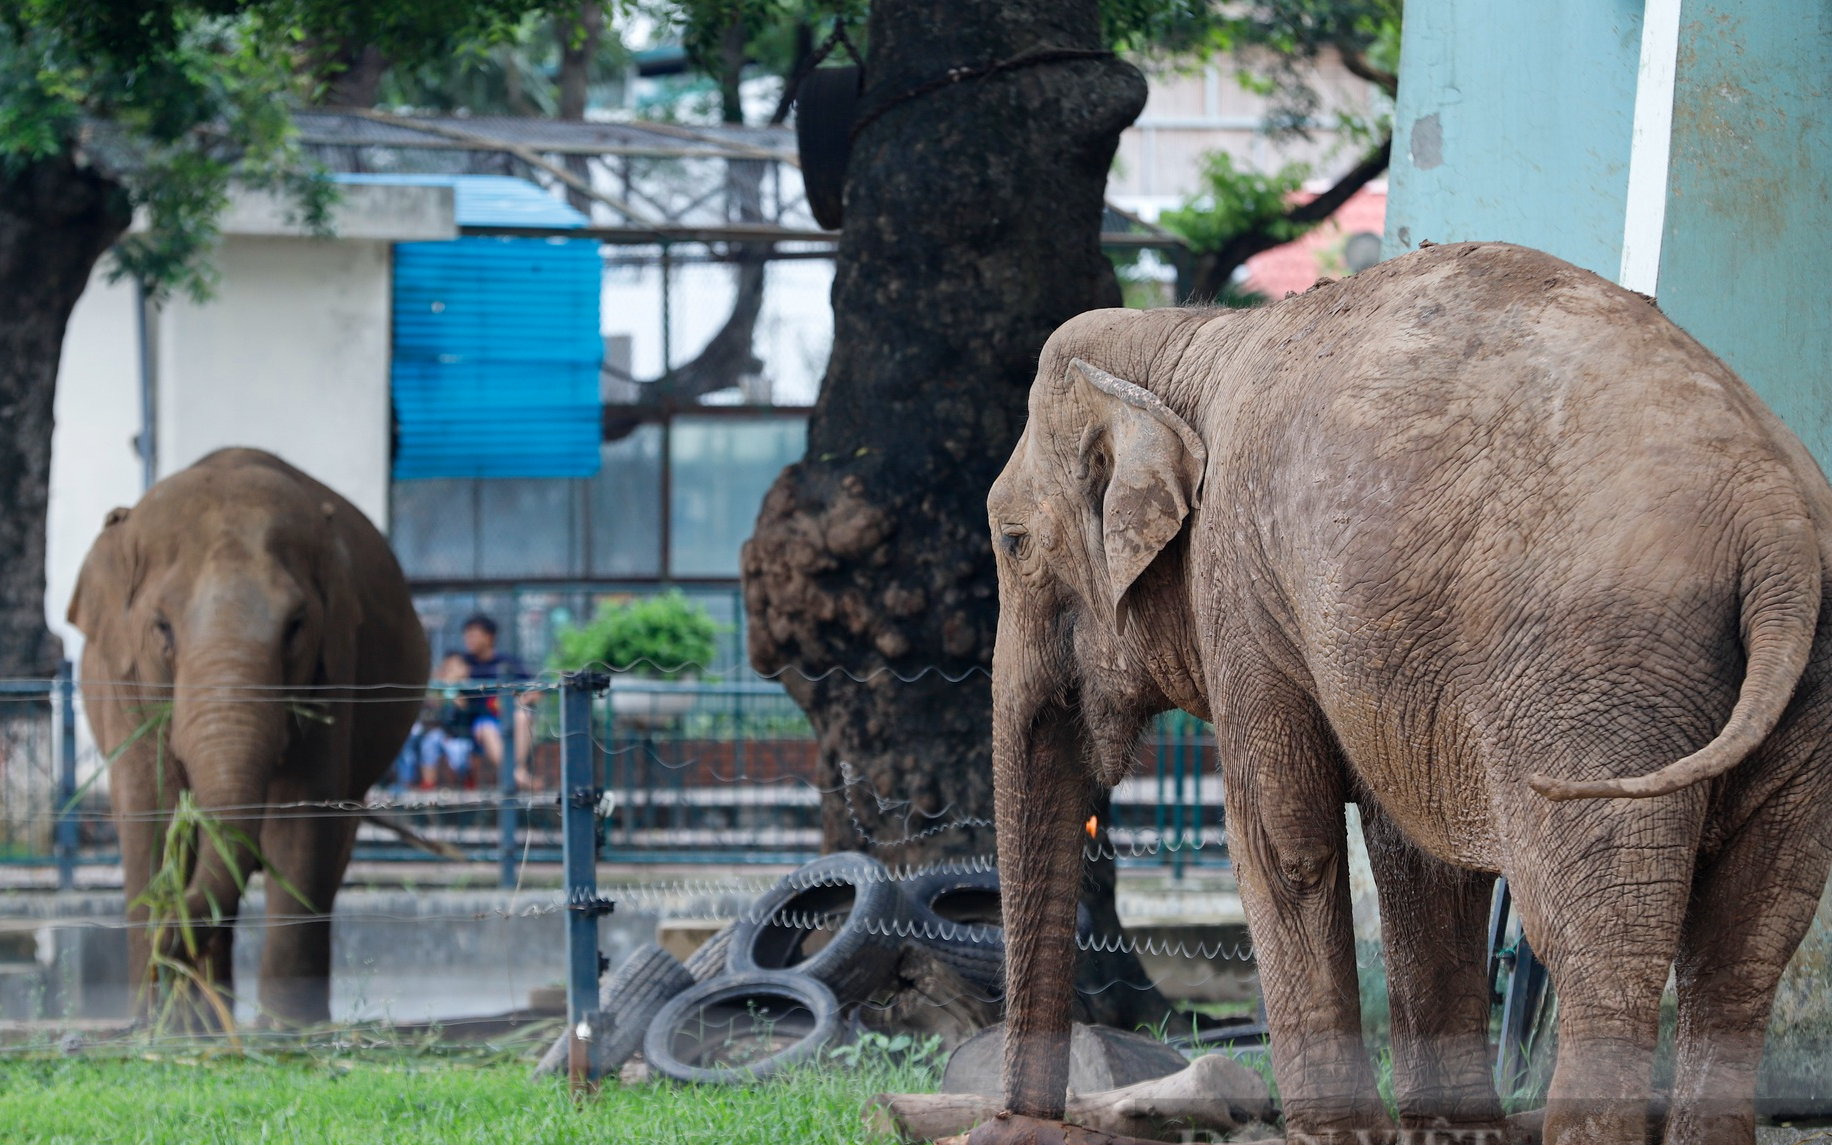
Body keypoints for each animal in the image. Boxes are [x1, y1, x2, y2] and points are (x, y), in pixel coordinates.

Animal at [67, 447, 425, 1025]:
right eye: (161, 627)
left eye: (296, 625)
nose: (166, 934)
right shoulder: (122, 680)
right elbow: (152, 811)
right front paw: (154, 1027)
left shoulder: (335, 669)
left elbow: (300, 821)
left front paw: (287, 1034)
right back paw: (206, 1024)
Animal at [981, 245, 1832, 1143]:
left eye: (1013, 541)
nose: (1017, 1127)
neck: (1186, 341)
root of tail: (1774, 521)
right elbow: (1422, 859)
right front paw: (1452, 1131)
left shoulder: (1239, 585)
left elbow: (1285, 842)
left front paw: (1338, 1134)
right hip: (1793, 695)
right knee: (1748, 939)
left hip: (1600, 682)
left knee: (1602, 939)